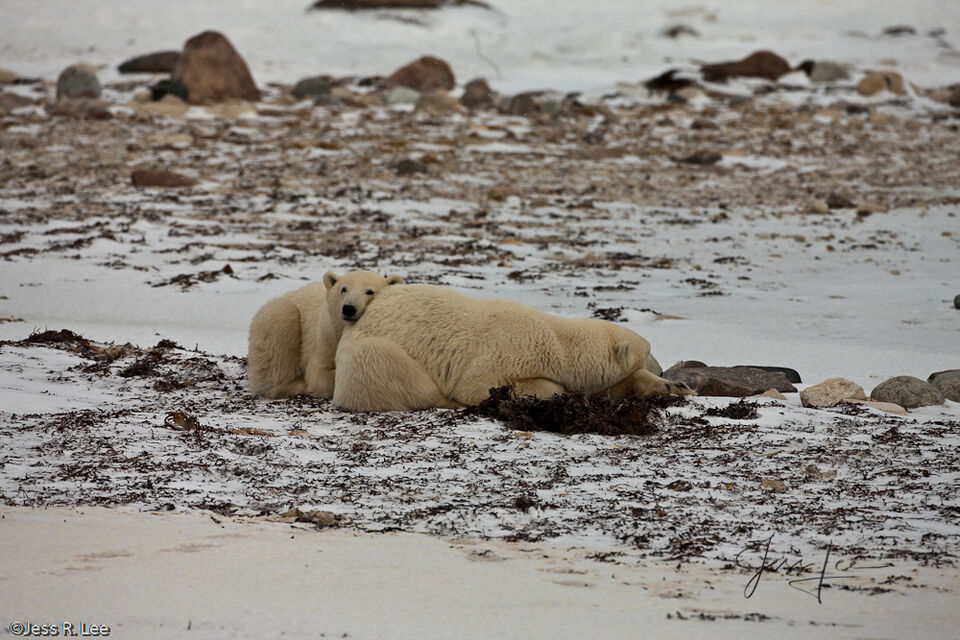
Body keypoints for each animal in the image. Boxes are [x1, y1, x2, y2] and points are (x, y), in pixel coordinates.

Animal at [249, 272, 404, 400]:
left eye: (370, 291)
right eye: (343, 289)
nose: (348, 309)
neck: (341, 330)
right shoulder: (325, 336)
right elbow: (318, 372)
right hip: (275, 318)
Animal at [334, 284, 692, 412]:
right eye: (650, 349)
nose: (663, 366)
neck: (556, 340)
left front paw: (673, 386)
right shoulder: (504, 350)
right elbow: (482, 384)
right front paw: (561, 393)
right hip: (371, 351)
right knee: (385, 365)